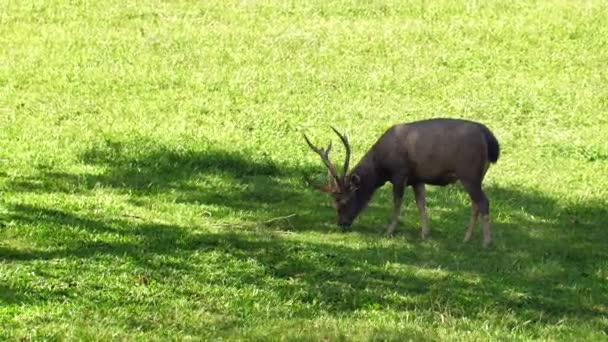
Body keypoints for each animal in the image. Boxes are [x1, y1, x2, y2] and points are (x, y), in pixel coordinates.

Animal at [304, 117, 498, 246]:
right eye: (333, 204)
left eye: (344, 201)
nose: (341, 224)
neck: (380, 169)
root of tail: (491, 141)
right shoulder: (417, 178)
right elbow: (421, 203)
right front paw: (425, 233)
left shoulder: (399, 174)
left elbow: (397, 203)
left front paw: (389, 230)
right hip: (477, 176)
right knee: (475, 204)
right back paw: (467, 238)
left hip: (469, 173)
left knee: (483, 202)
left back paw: (486, 241)